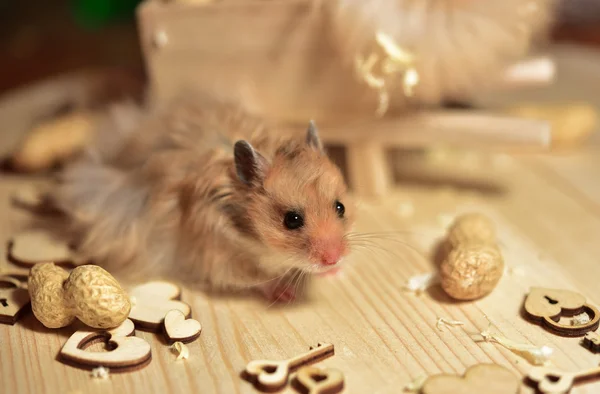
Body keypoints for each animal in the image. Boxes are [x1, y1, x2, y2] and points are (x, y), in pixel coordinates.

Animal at [49, 91, 356, 302]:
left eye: (340, 207)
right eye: (291, 220)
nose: (334, 259)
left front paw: (338, 273)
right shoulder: (218, 259)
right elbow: (255, 281)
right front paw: (285, 293)